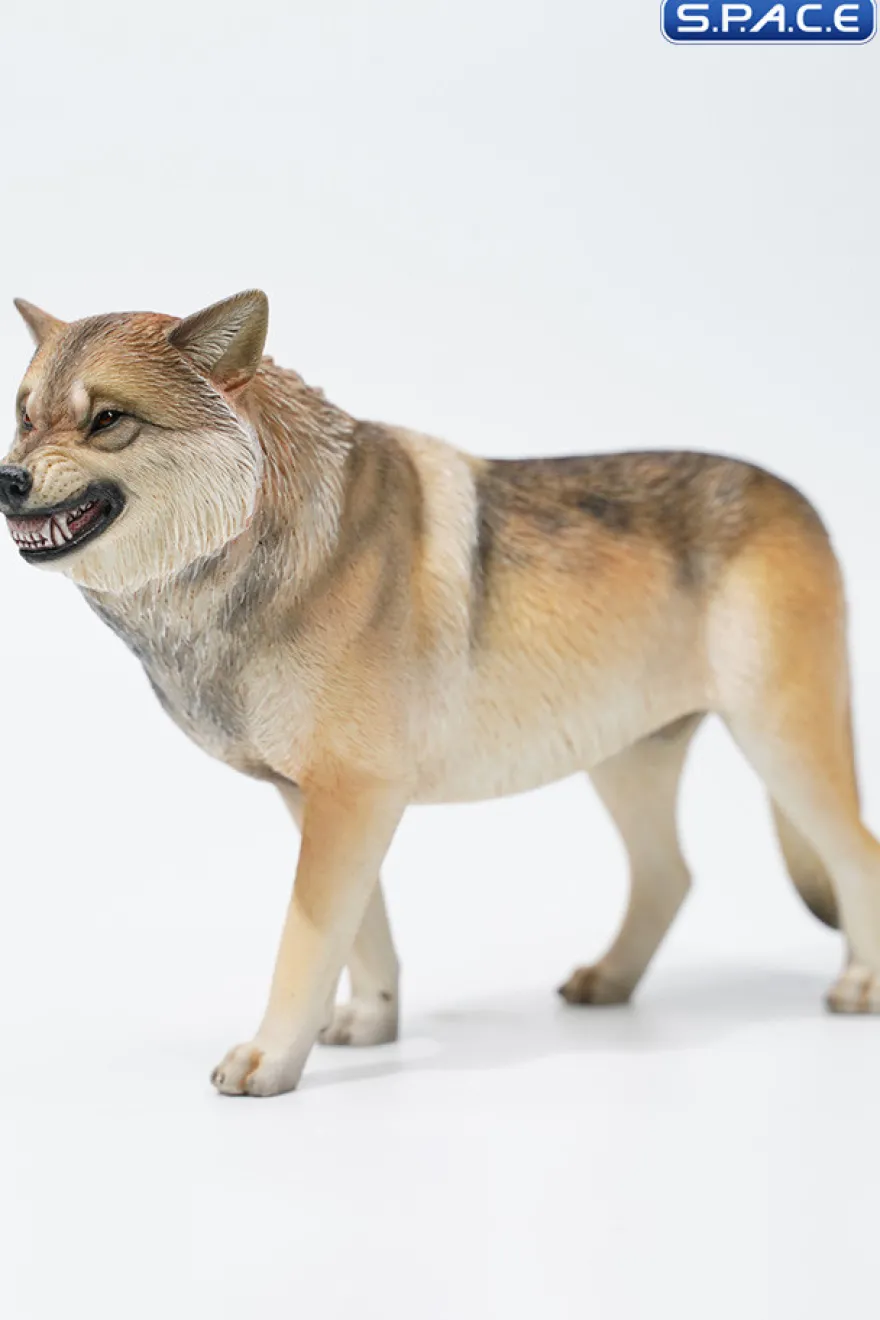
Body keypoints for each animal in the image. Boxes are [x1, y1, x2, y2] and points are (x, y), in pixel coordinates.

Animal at [2, 290, 877, 1097]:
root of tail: (796, 497)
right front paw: (369, 1024)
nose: (7, 478)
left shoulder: (353, 798)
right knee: (672, 876)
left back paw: (859, 987)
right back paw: (608, 983)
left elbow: (305, 941)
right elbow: (362, 934)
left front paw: (271, 1060)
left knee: (855, 855)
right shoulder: (322, 799)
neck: (264, 543)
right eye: (23, 416)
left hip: (781, 743)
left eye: (107, 420)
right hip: (624, 762)